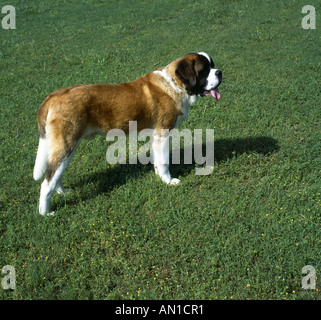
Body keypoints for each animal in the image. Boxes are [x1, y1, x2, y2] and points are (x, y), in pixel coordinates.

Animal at [33, 52, 221, 215]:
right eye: (204, 71)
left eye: (212, 65)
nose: (220, 72)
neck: (175, 83)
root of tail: (53, 96)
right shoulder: (162, 133)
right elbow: (164, 162)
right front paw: (168, 181)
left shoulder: (155, 136)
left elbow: (157, 161)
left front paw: (159, 177)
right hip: (67, 146)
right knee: (47, 182)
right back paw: (45, 213)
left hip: (66, 147)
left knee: (54, 174)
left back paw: (63, 192)